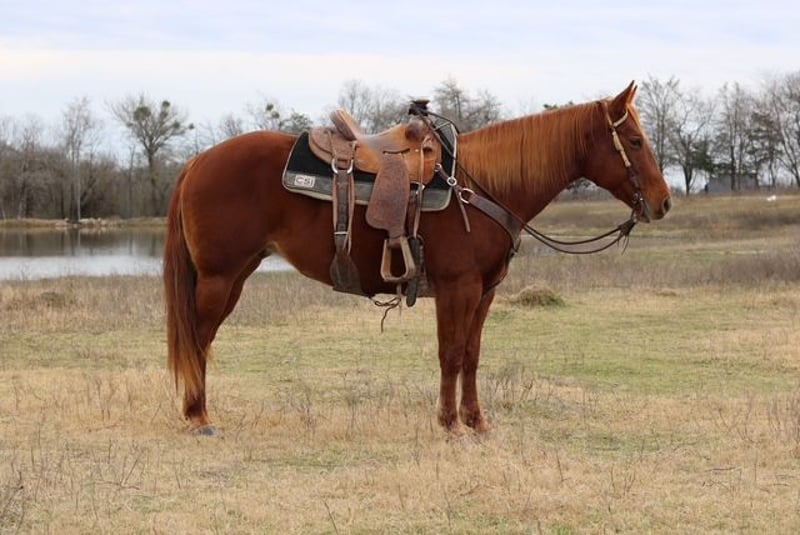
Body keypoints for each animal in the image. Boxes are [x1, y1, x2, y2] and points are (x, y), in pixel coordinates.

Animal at [163, 82, 671, 436]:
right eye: (635, 141)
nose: (663, 203)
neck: (481, 186)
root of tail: (198, 161)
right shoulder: (456, 288)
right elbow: (450, 353)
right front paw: (450, 424)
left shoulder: (484, 292)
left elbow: (471, 355)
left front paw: (476, 421)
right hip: (219, 277)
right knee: (199, 338)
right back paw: (198, 415)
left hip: (237, 275)